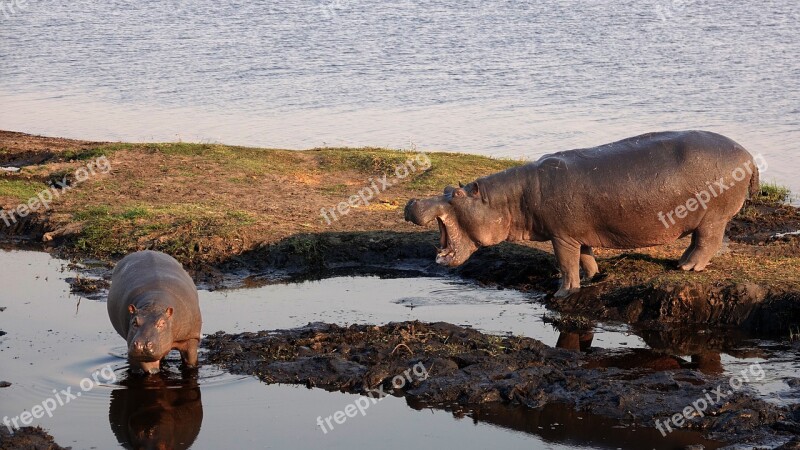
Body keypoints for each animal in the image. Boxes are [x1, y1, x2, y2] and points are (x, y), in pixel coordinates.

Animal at [406, 131, 764, 298]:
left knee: (707, 242)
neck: (507, 200)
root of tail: (749, 155)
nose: (412, 202)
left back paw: (688, 268)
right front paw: (595, 276)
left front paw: (562, 291)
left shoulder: (561, 235)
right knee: (697, 243)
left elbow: (566, 263)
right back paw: (680, 263)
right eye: (447, 187)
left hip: (713, 217)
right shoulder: (579, 231)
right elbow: (586, 255)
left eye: (457, 194)